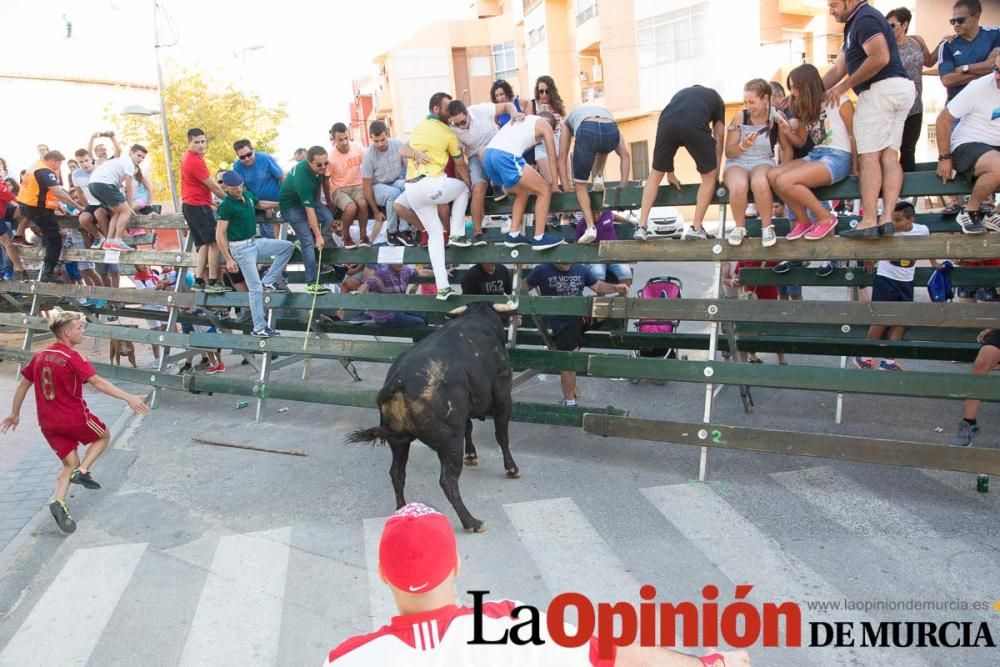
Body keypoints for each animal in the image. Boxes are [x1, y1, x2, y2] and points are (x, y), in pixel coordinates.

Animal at [346, 302, 520, 532]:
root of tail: (397, 380)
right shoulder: (503, 399)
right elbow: (502, 436)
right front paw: (512, 468)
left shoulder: (464, 410)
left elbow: (469, 427)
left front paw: (472, 455)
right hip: (450, 442)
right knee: (448, 481)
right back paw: (472, 522)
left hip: (399, 440)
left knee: (397, 474)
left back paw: (402, 511)